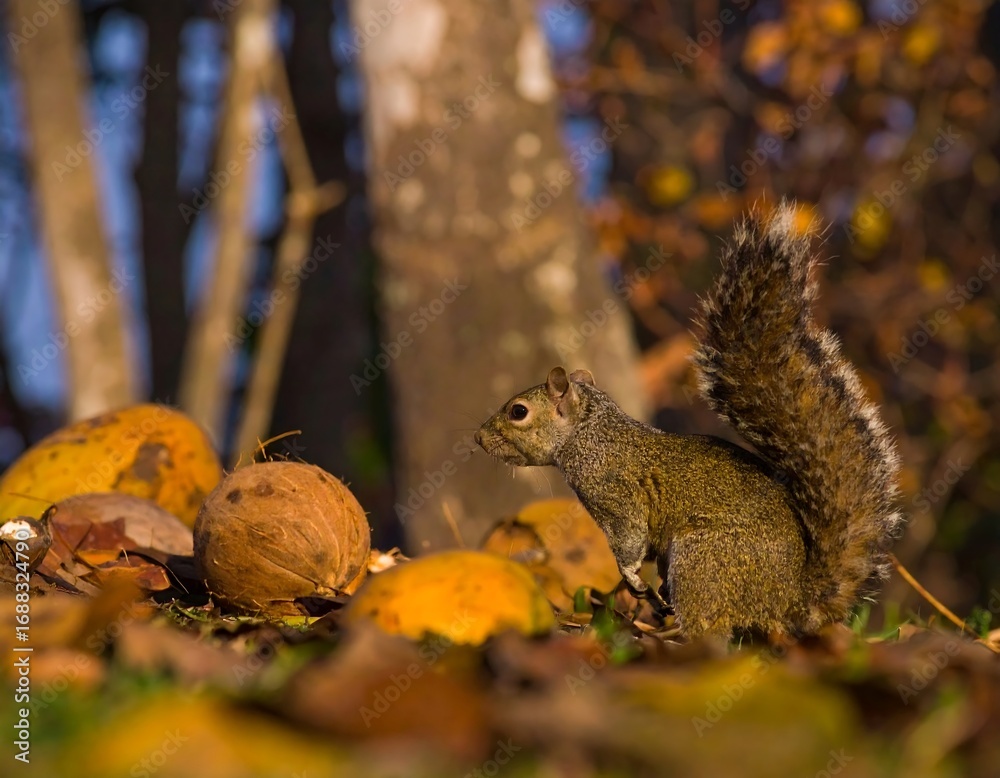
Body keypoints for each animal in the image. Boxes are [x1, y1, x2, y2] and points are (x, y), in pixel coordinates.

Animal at [475, 204, 903, 640]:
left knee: (709, 626)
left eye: (518, 411)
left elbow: (629, 541)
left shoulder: (615, 495)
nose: (478, 438)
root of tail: (790, 600)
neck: (590, 433)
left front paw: (631, 576)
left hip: (702, 560)